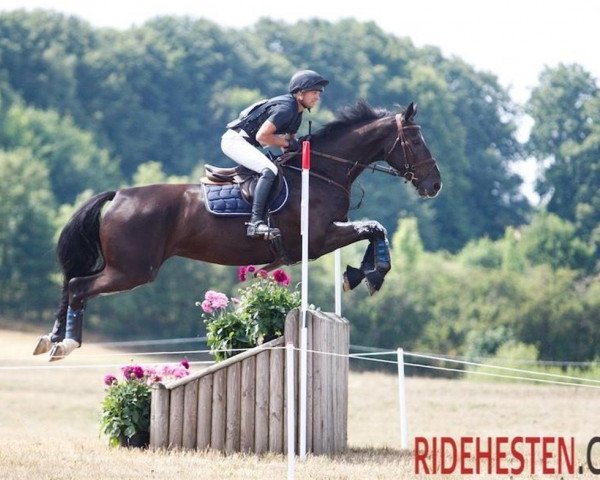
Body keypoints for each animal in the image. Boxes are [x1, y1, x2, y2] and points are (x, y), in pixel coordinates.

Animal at [35, 100, 442, 360]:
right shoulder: (317, 240)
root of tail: (119, 195)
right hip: (133, 270)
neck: (323, 172)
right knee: (79, 285)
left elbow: (374, 229)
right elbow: (373, 229)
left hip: (124, 267)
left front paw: (359, 274)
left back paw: (52, 338)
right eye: (415, 140)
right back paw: (66, 344)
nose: (435, 185)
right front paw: (369, 275)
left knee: (72, 283)